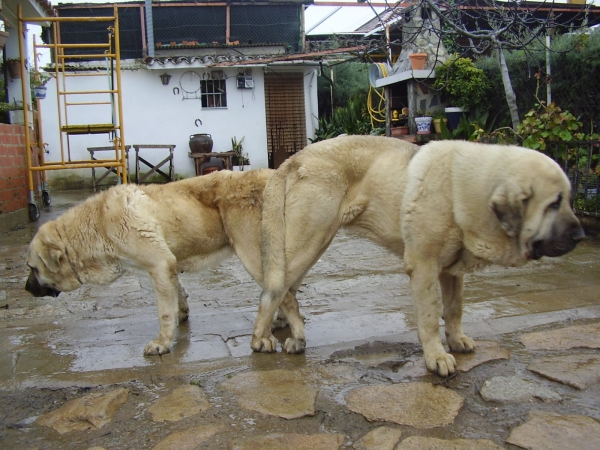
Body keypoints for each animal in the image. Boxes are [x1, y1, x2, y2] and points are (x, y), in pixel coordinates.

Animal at [24, 169, 282, 356]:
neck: (98, 224)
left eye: (33, 268)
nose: (26, 289)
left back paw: (265, 335)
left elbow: (164, 312)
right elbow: (178, 293)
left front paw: (162, 343)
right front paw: (181, 313)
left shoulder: (159, 264)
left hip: (252, 254)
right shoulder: (165, 266)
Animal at [251, 136, 584, 376]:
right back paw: (263, 338)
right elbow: (429, 317)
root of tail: (294, 158)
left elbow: (454, 309)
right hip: (310, 240)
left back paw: (283, 325)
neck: (466, 189)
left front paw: (456, 339)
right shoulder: (424, 267)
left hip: (311, 244)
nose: (581, 235)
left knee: (288, 288)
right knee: (275, 290)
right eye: (554, 204)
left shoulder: (452, 272)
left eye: (567, 200)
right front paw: (437, 356)